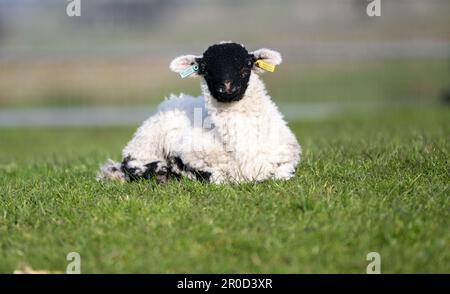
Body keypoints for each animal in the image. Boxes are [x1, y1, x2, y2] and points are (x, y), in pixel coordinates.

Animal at [98, 41, 302, 184]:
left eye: (247, 66)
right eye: (205, 70)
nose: (227, 88)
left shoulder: (287, 161)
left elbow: (281, 175)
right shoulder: (194, 161)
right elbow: (216, 178)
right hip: (143, 147)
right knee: (134, 167)